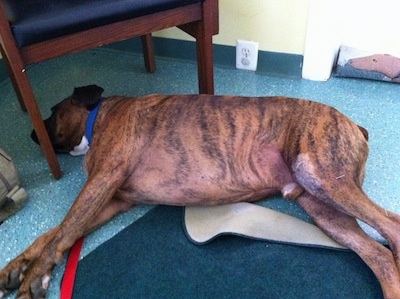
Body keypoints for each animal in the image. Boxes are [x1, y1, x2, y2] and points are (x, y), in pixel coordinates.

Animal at [0, 85, 400, 299]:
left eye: (53, 111)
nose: (32, 133)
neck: (98, 117)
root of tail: (355, 124)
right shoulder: (112, 200)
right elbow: (56, 234)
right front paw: (17, 268)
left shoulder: (102, 180)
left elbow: (62, 231)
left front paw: (33, 279)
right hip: (319, 204)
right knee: (380, 256)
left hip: (323, 176)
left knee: (391, 226)